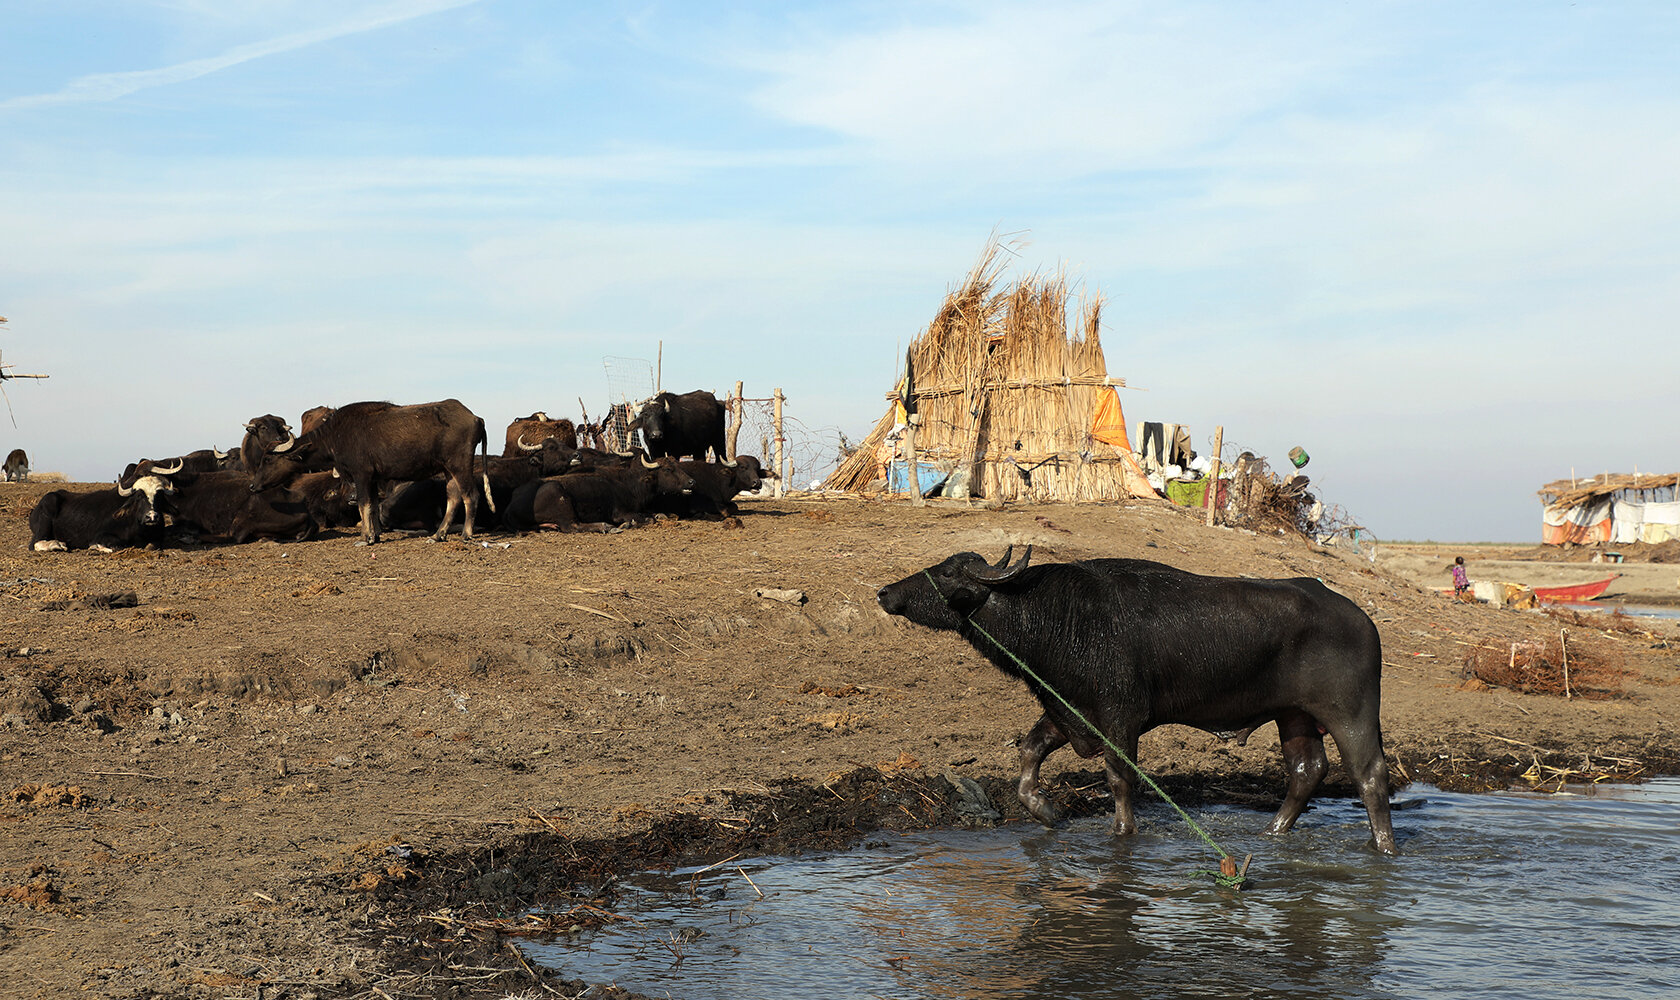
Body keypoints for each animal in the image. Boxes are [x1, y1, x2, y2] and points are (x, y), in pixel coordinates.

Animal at [30, 480, 175, 554]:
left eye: (159, 496)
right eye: (139, 496)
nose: (152, 517)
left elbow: (151, 545)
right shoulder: (100, 535)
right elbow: (117, 545)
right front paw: (96, 547)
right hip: (48, 507)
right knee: (35, 543)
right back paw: (56, 545)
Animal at [248, 396, 493, 544]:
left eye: (268, 459)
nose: (253, 485)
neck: (336, 436)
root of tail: (475, 417)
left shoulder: (361, 475)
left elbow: (363, 505)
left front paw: (366, 537)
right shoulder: (374, 478)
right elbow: (373, 506)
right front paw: (375, 534)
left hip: (460, 464)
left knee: (471, 495)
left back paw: (466, 534)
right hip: (448, 469)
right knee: (453, 496)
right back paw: (438, 534)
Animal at [873, 551, 1397, 857]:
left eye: (945, 573)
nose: (885, 592)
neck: (1059, 618)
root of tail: (1362, 618)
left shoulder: (1120, 718)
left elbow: (1119, 780)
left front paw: (1121, 834)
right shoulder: (1068, 711)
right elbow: (1028, 752)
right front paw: (1045, 811)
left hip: (1349, 711)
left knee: (1370, 775)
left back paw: (1384, 848)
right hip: (1294, 716)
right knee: (1307, 770)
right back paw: (1271, 834)